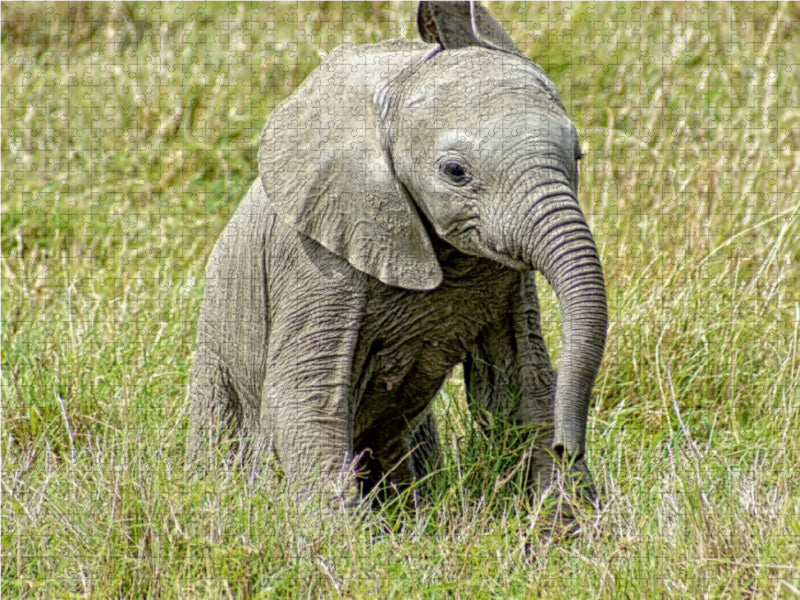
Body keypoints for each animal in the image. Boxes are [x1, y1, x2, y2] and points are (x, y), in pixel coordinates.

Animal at [187, 1, 608, 509]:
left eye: (578, 156)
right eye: (455, 171)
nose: (569, 447)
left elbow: (523, 386)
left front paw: (569, 521)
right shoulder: (320, 261)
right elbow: (305, 397)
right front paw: (337, 532)